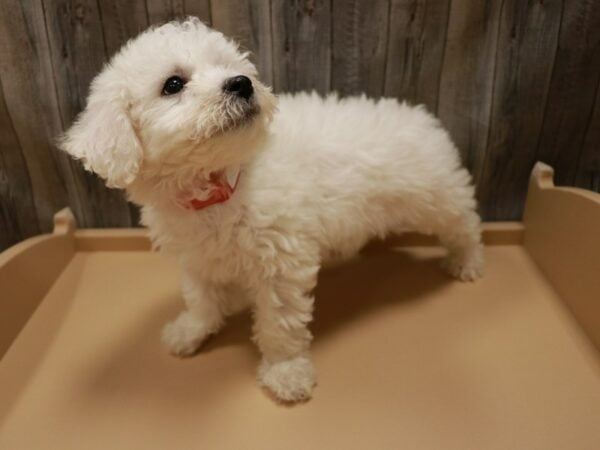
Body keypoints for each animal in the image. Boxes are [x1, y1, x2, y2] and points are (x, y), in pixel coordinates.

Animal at [59, 17, 482, 402]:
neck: (220, 185)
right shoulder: (196, 256)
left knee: (465, 220)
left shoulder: (281, 262)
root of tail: (421, 116)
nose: (241, 83)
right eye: (173, 85)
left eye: (230, 67)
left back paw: (468, 261)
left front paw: (286, 372)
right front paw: (192, 329)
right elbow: (200, 296)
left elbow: (280, 324)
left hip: (436, 196)